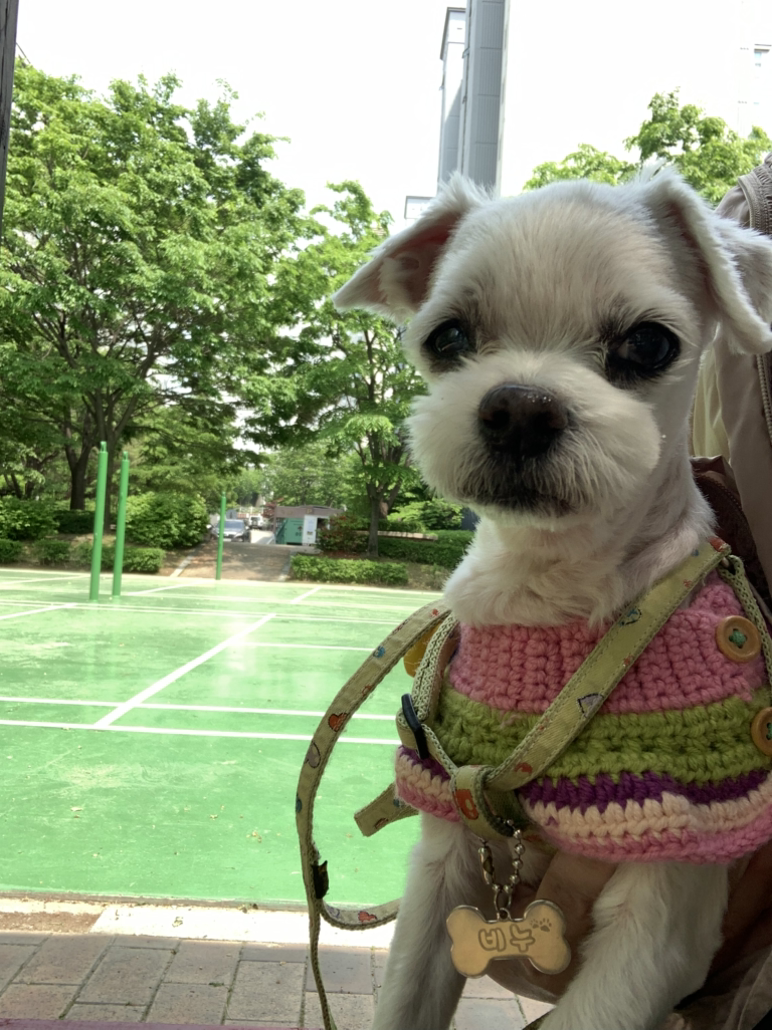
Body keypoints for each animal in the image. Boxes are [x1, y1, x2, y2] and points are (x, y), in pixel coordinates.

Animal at [333, 172, 772, 1030]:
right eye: (448, 337)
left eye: (648, 344)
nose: (520, 407)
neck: (550, 593)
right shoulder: (445, 858)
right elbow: (404, 999)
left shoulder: (669, 905)